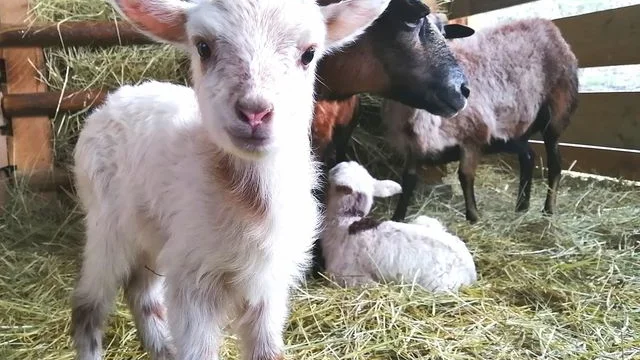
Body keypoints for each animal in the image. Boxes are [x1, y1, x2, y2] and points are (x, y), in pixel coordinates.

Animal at [322, 162, 478, 292]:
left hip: (437, 285)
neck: (349, 220)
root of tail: (471, 272)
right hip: (425, 221)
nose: (330, 168)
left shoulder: (345, 273)